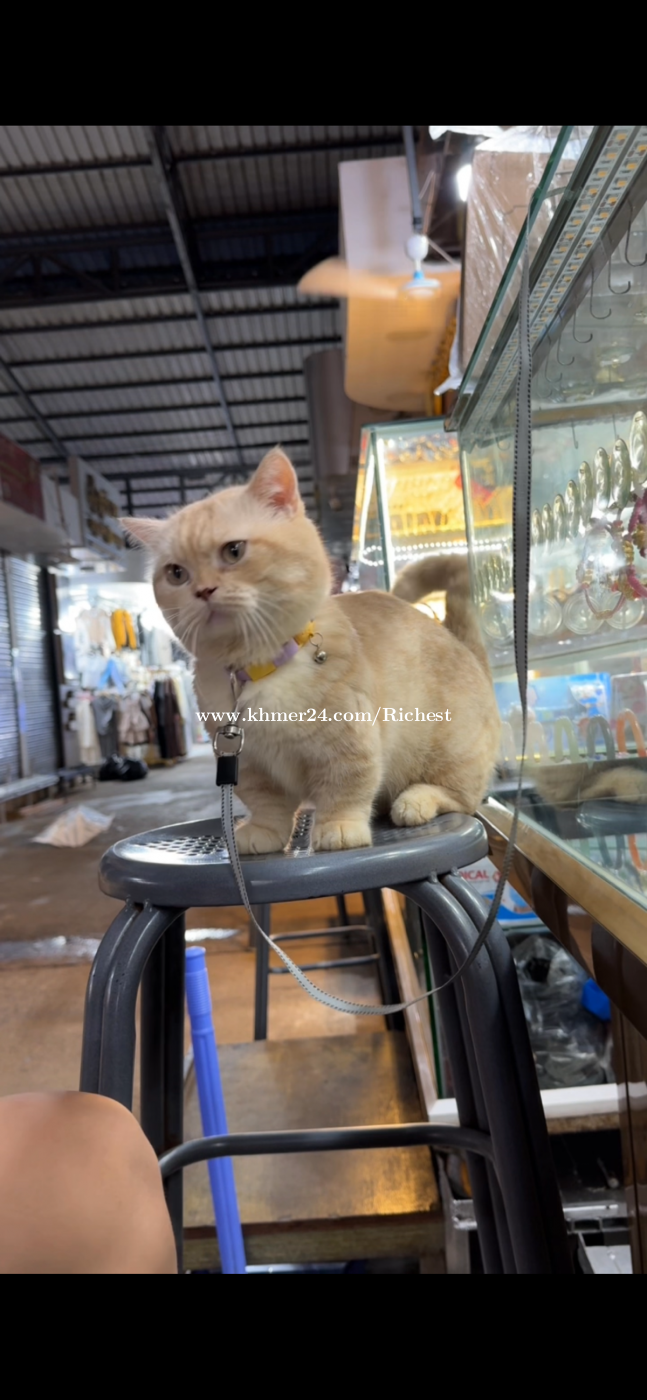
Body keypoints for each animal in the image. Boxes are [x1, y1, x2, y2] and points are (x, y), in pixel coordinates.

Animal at [122, 448, 501, 853]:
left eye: (234, 551)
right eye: (176, 573)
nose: (203, 591)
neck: (260, 669)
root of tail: (460, 641)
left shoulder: (348, 747)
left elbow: (344, 790)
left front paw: (338, 828)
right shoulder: (251, 764)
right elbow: (267, 804)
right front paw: (264, 833)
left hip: (449, 754)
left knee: (463, 798)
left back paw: (415, 801)